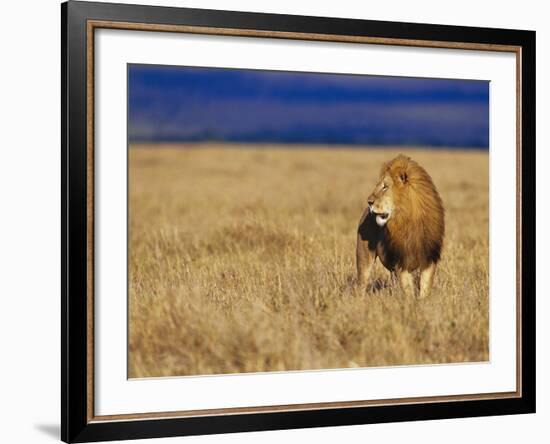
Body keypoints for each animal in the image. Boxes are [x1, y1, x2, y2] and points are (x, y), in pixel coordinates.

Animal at [360, 155, 446, 298]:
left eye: (385, 187)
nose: (369, 202)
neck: (408, 220)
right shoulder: (402, 262)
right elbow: (408, 291)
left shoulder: (429, 260)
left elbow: (425, 288)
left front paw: (424, 302)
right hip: (364, 260)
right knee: (361, 284)